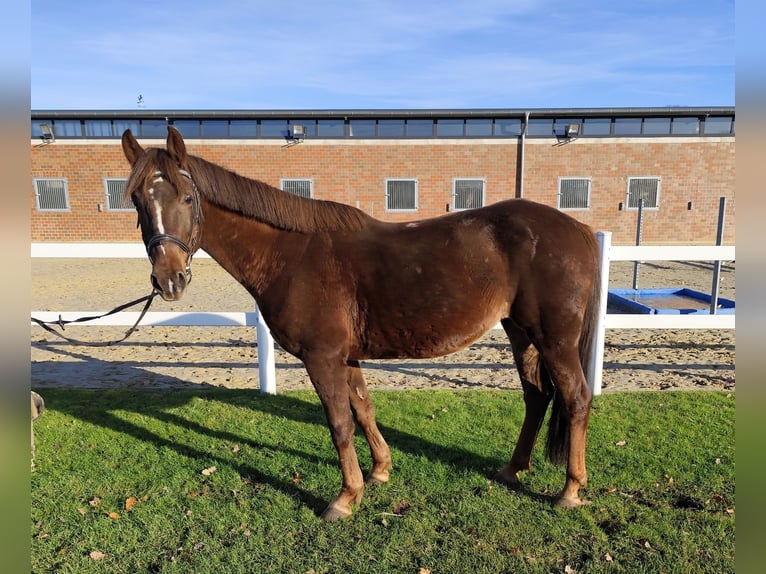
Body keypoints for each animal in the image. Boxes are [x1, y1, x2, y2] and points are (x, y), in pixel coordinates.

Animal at [120, 128, 604, 524]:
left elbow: (339, 423)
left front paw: (344, 497)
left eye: (187, 198)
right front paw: (379, 471)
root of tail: (578, 229)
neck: (291, 255)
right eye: (138, 201)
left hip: (554, 340)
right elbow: (363, 409)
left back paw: (569, 490)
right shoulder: (346, 356)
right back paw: (513, 469)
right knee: (536, 396)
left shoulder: (322, 358)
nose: (169, 279)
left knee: (576, 399)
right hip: (521, 333)